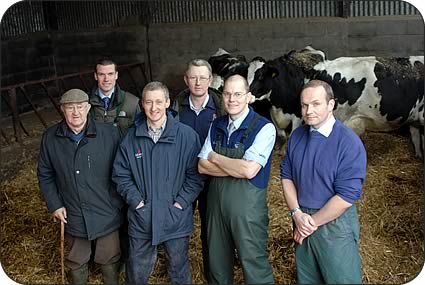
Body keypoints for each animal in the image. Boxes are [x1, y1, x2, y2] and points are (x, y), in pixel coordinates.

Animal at [247, 46, 422, 158]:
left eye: (260, 76)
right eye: (245, 74)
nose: (245, 94)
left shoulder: (298, 116)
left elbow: (291, 137)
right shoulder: (272, 112)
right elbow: (282, 135)